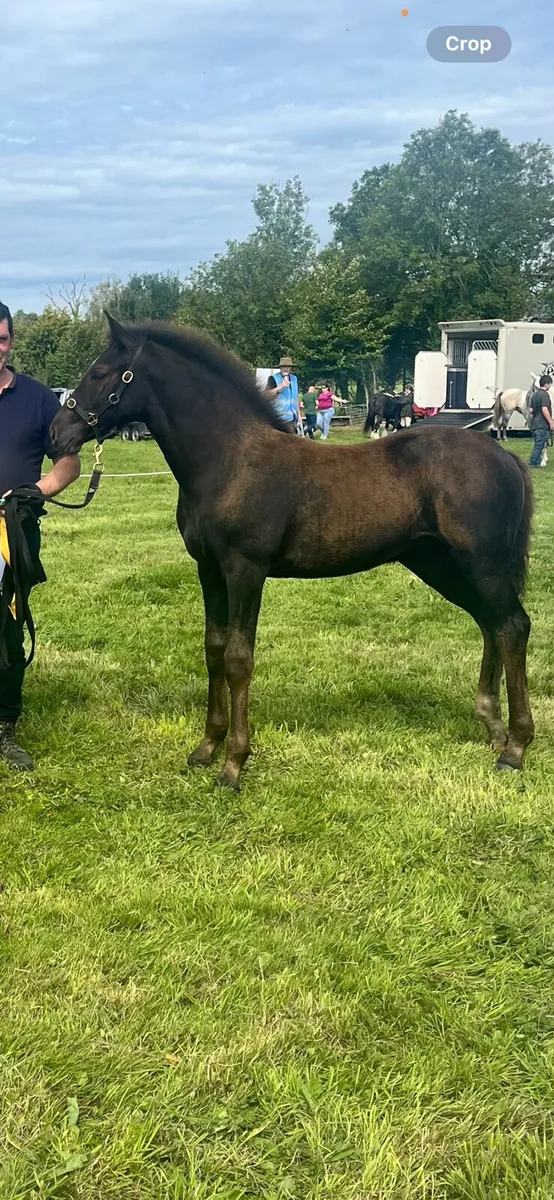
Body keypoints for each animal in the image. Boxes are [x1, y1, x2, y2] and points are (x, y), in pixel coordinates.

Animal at [50, 316, 535, 790]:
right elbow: (213, 648)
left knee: (513, 626)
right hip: (440, 564)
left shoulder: (246, 570)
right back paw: (494, 728)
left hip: (482, 564)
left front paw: (233, 765)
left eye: (99, 373)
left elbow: (239, 659)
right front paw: (206, 747)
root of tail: (506, 456)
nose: (57, 434)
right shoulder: (209, 570)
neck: (230, 461)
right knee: (491, 624)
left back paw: (515, 747)